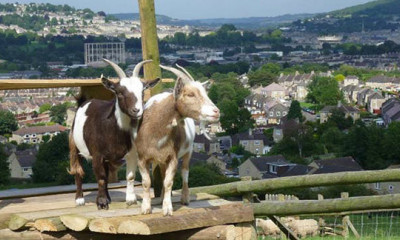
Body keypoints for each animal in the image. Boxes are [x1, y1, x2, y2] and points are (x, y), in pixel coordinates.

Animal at [69, 59, 160, 209]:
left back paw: (108, 197)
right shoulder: (97, 154)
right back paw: (79, 199)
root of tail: (84, 101)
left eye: (142, 92)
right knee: (77, 169)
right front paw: (101, 202)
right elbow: (100, 176)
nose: (137, 110)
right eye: (119, 93)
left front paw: (130, 199)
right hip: (74, 144)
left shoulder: (132, 153)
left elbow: (129, 176)